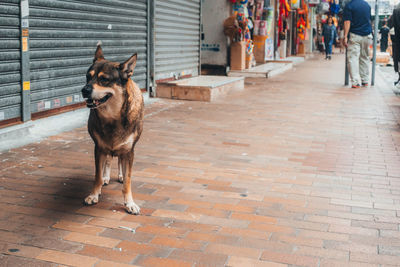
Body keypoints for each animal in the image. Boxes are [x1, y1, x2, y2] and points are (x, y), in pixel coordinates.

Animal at [81, 45, 144, 215]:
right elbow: (97, 175)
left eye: (104, 79)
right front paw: (94, 194)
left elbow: (128, 180)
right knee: (109, 160)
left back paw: (120, 175)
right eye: (87, 77)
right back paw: (106, 177)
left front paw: (129, 203)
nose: (84, 90)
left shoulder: (129, 151)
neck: (113, 117)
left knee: (120, 161)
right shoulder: (99, 148)